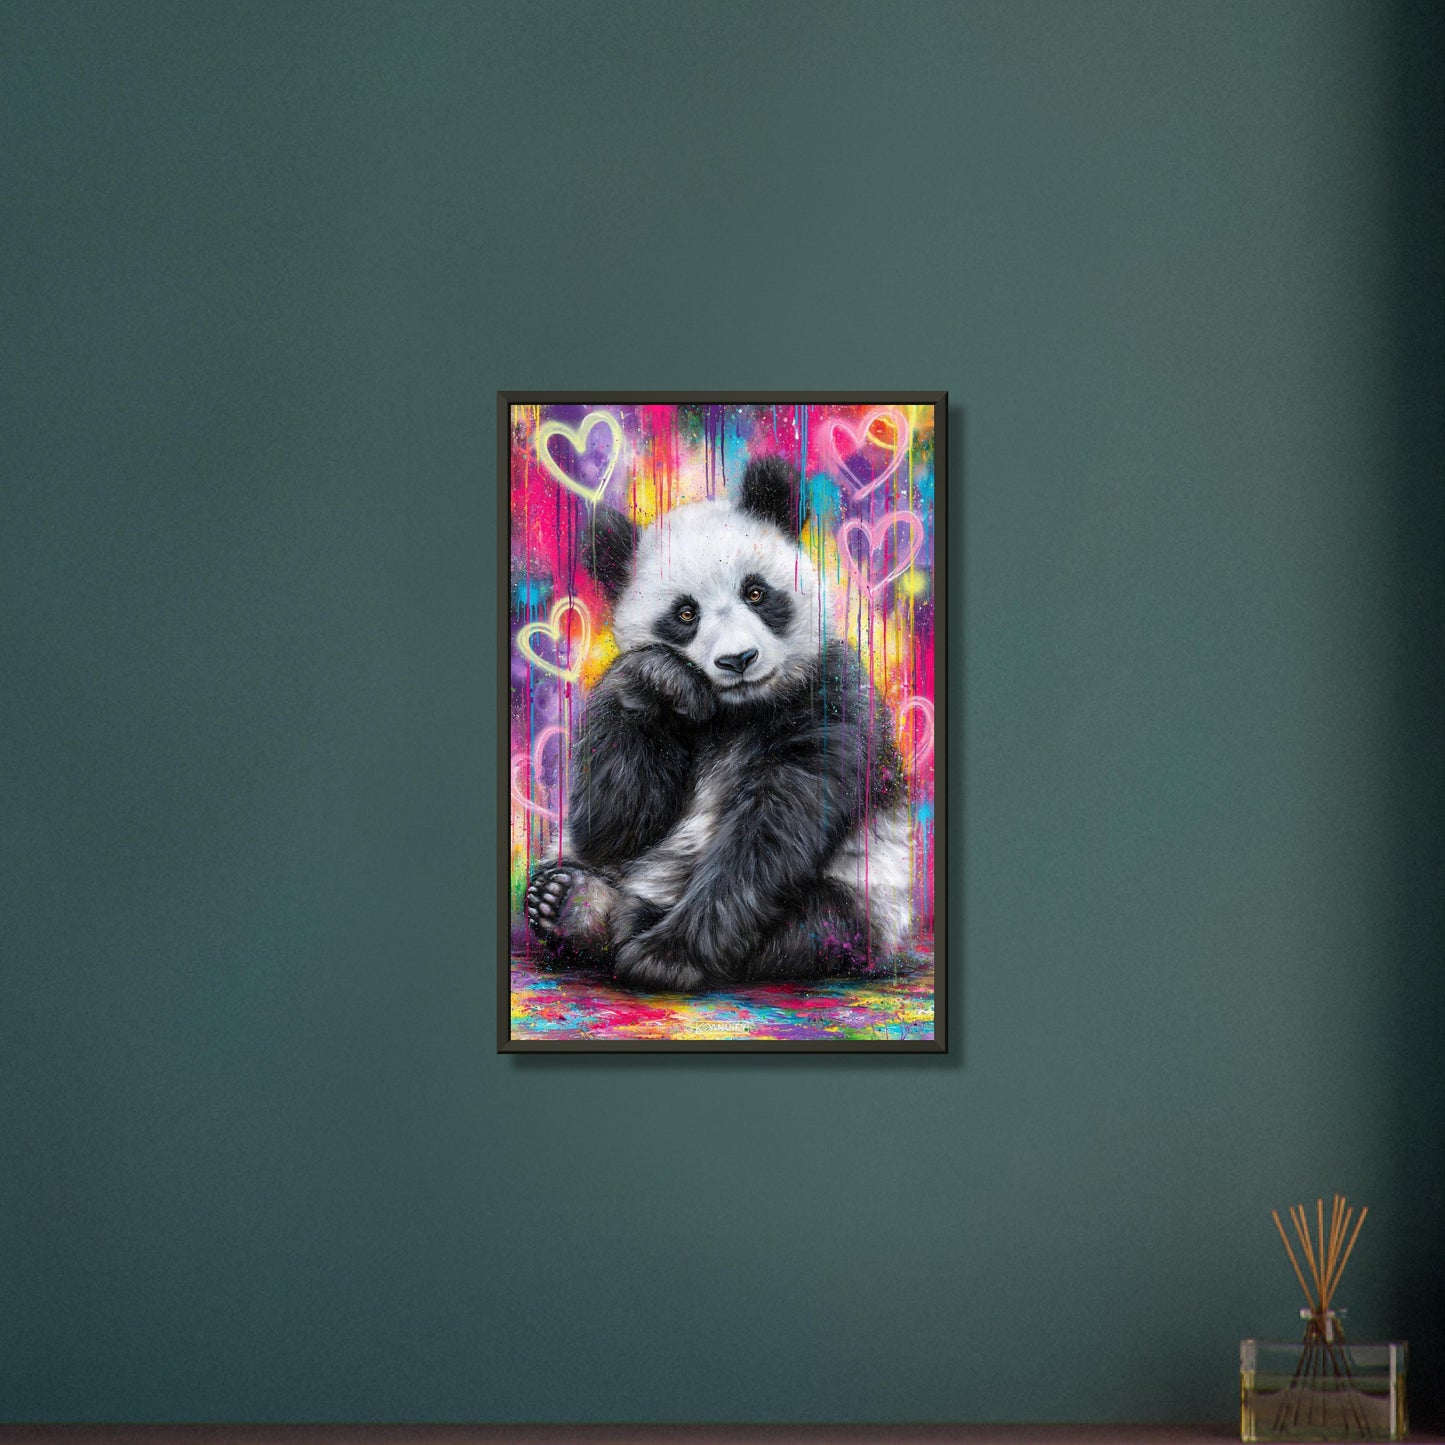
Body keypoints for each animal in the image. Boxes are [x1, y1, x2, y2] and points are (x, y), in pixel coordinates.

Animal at [524, 455, 912, 993]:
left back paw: (606, 914)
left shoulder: (832, 702)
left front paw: (665, 957)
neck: (737, 713)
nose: (738, 659)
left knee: (812, 925)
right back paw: (566, 900)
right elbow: (616, 823)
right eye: (686, 613)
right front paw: (660, 678)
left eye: (756, 592)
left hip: (868, 903)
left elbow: (769, 831)